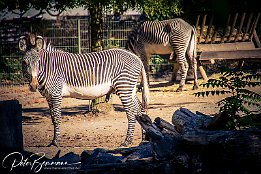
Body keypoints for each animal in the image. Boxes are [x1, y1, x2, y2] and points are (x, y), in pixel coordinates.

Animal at [18, 33, 148, 147]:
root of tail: (136, 57)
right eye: (24, 62)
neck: (48, 67)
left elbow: (58, 117)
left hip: (124, 87)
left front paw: (55, 142)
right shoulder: (49, 97)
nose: (33, 85)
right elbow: (53, 119)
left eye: (38, 62)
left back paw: (127, 141)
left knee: (131, 113)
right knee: (140, 109)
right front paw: (53, 140)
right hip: (130, 88)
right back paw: (144, 139)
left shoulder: (56, 94)